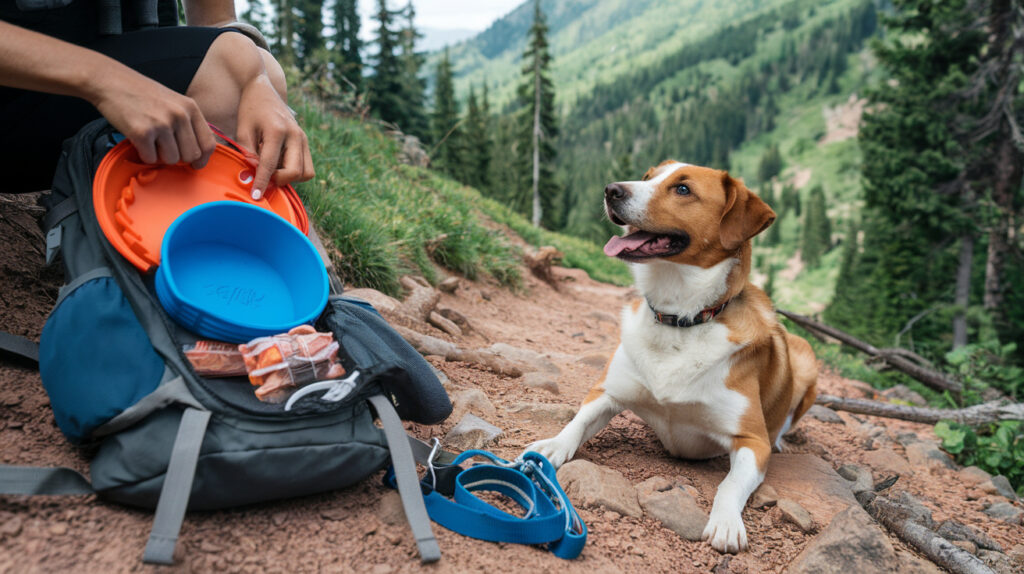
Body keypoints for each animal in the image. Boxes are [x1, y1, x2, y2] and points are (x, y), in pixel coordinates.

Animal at [528, 159, 815, 552]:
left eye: (683, 189)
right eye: (647, 178)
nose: (611, 190)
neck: (680, 320)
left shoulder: (753, 441)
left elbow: (729, 485)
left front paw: (727, 522)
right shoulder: (606, 392)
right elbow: (576, 423)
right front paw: (552, 446)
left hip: (807, 360)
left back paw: (783, 438)